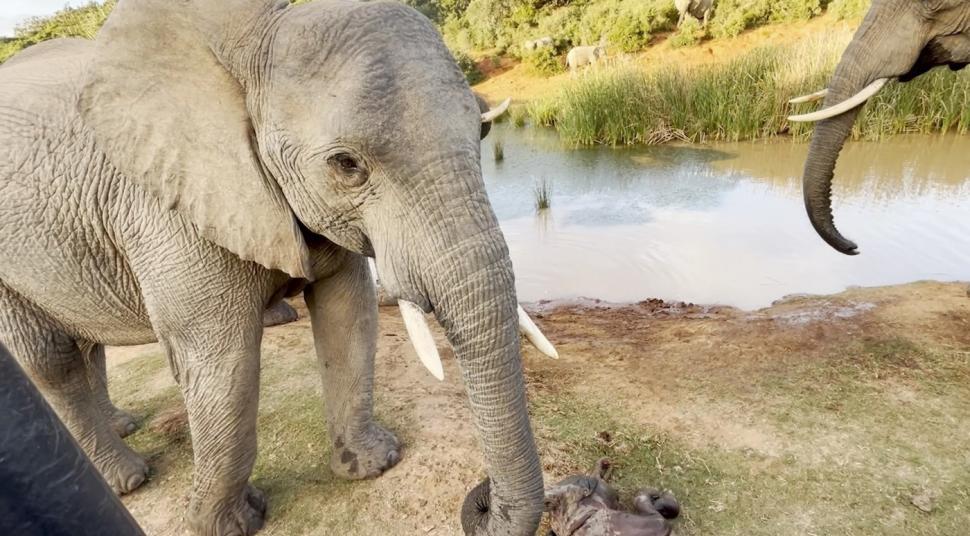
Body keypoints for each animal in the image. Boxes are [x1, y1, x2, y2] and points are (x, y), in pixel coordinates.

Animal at [0, 0, 558, 534]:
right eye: (346, 165)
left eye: (484, 133)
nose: (482, 499)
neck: (257, 43)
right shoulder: (167, 208)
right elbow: (225, 362)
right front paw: (229, 525)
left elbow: (348, 315)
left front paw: (373, 465)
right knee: (53, 361)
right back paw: (129, 479)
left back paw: (122, 429)